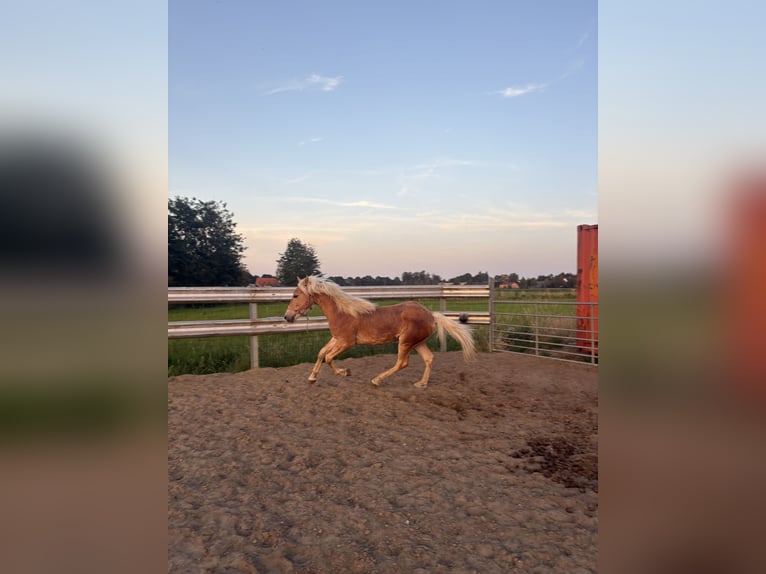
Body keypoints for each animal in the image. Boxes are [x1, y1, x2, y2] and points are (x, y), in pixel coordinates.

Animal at [283, 276, 476, 388]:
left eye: (295, 295)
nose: (287, 317)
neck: (342, 312)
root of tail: (431, 315)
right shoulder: (336, 338)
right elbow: (321, 353)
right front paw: (312, 377)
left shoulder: (346, 342)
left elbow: (329, 357)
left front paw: (345, 372)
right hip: (418, 343)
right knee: (429, 358)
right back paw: (421, 383)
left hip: (405, 342)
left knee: (402, 363)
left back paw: (376, 380)